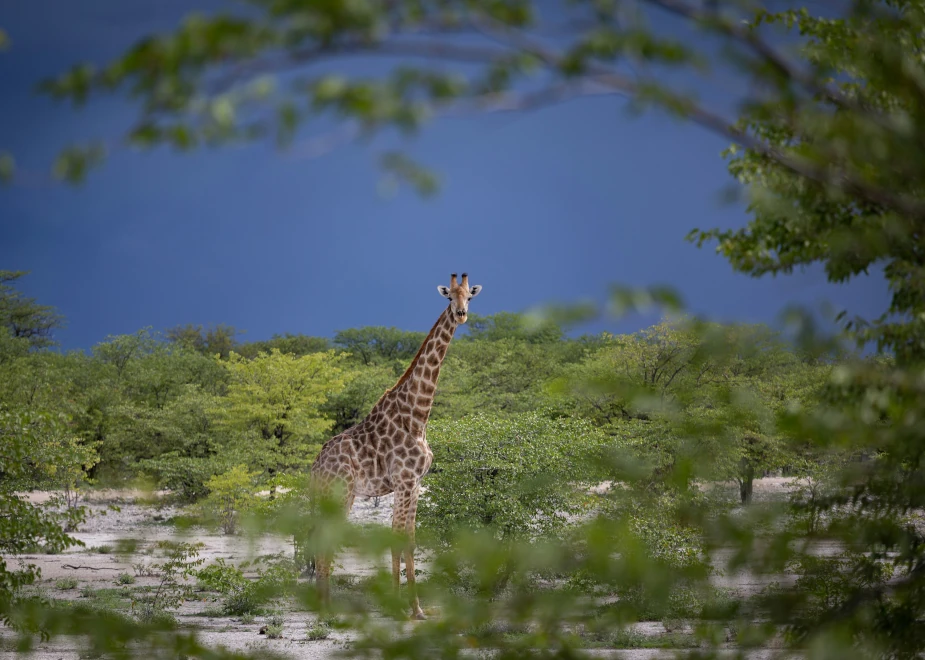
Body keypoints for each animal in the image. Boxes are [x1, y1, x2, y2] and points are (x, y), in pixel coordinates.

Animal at [310, 270, 484, 620]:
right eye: (449, 297)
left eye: (469, 297)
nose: (461, 314)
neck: (417, 416)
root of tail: (314, 467)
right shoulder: (404, 481)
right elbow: (401, 541)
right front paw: (410, 609)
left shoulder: (414, 484)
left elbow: (404, 540)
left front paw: (404, 606)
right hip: (341, 492)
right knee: (326, 539)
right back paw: (326, 610)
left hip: (335, 495)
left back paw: (323, 605)